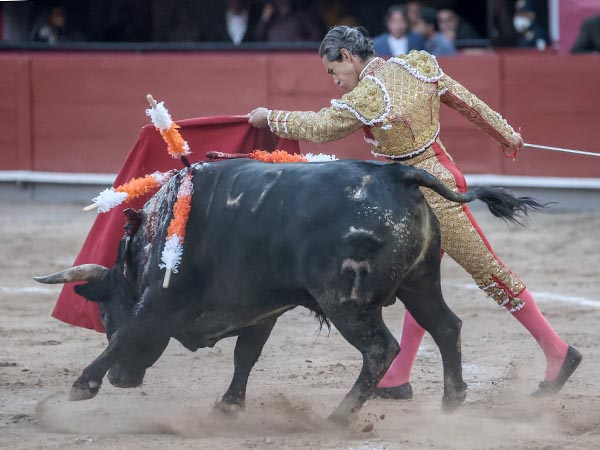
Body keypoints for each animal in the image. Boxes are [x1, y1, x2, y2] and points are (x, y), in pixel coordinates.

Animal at [32, 159, 540, 426]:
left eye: (104, 314)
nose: (123, 380)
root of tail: (398, 175)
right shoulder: (260, 310)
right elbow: (246, 355)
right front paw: (228, 405)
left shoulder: (160, 300)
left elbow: (129, 334)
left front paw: (79, 387)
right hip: (421, 283)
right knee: (446, 327)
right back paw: (452, 401)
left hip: (347, 302)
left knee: (382, 348)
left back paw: (340, 416)